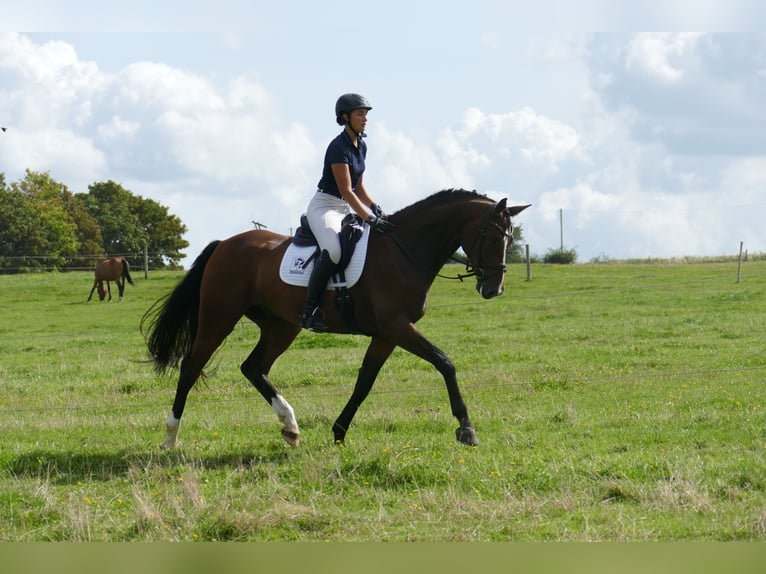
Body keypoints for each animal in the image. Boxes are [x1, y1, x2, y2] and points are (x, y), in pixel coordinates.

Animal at [141, 191, 532, 452]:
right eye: (492, 237)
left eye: (510, 238)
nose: (493, 289)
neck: (404, 251)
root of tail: (225, 244)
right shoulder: (397, 327)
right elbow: (445, 362)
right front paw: (466, 428)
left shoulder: (387, 334)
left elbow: (365, 382)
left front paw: (340, 431)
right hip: (218, 316)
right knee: (191, 366)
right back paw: (170, 438)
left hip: (281, 326)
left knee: (254, 367)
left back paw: (290, 426)